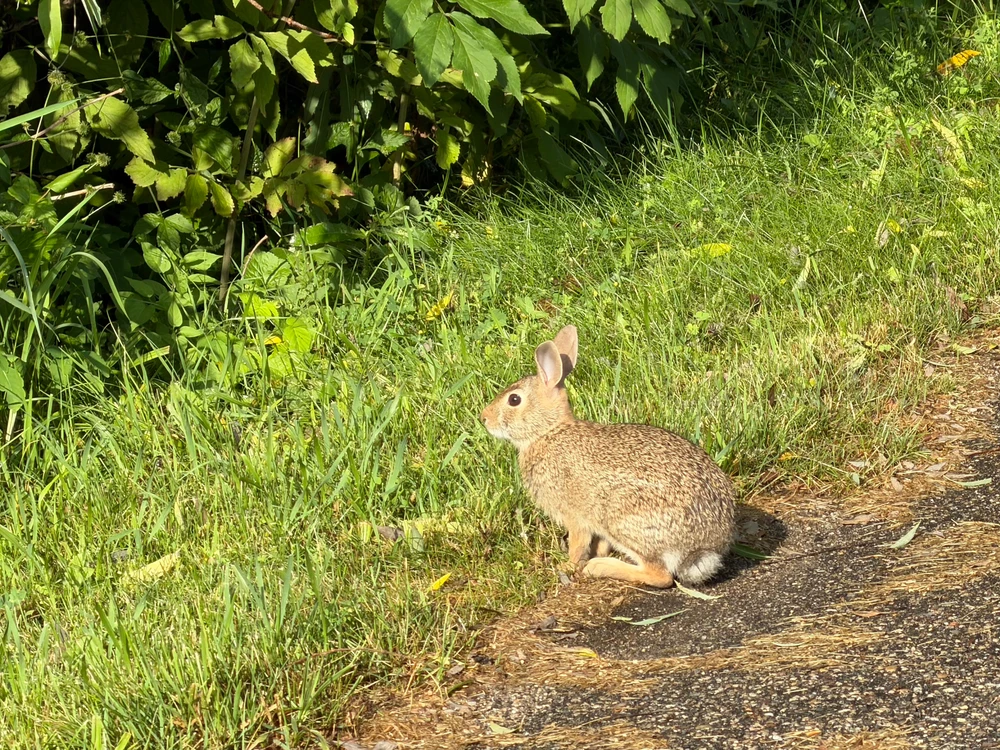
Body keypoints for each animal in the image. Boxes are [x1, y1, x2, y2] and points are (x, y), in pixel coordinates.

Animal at [480, 325, 736, 588]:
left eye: (514, 399)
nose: (483, 418)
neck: (548, 432)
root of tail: (706, 544)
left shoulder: (575, 516)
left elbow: (577, 545)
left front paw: (566, 566)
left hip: (624, 520)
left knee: (660, 575)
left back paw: (600, 567)